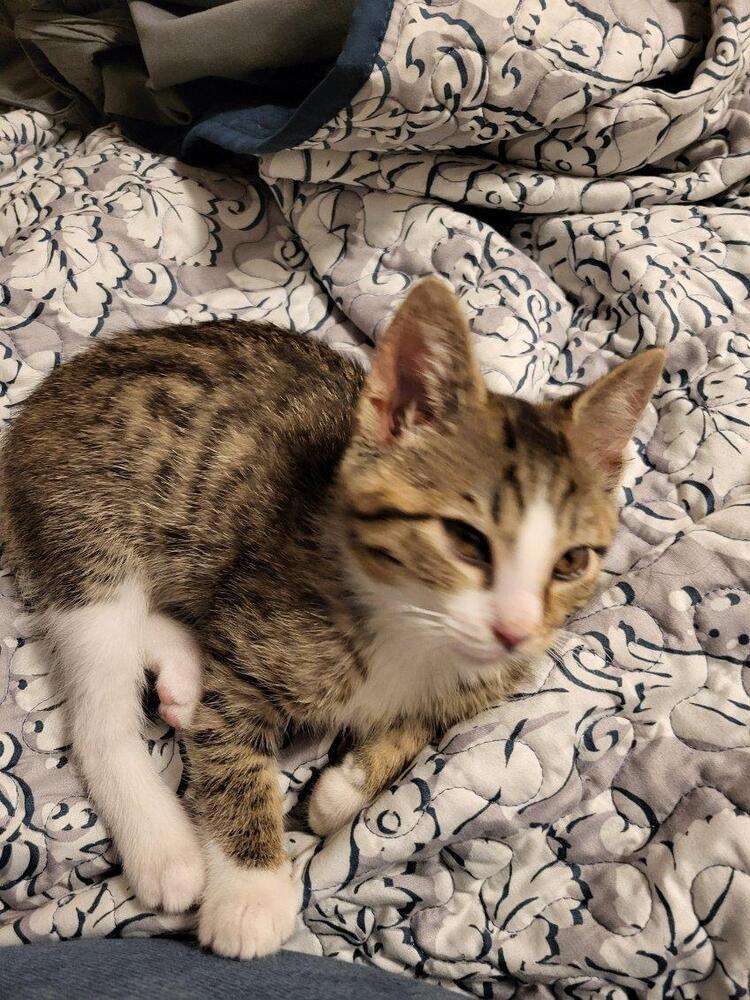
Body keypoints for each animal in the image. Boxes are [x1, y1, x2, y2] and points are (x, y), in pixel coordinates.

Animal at [0, 280, 668, 960]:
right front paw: (251, 892)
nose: (515, 629)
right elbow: (233, 761)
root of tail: (46, 398)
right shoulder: (253, 634)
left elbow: (422, 723)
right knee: (100, 707)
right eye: (465, 540)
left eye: (572, 561)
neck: (411, 628)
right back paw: (165, 850)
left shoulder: (487, 681)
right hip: (87, 531)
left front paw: (341, 792)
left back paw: (184, 680)